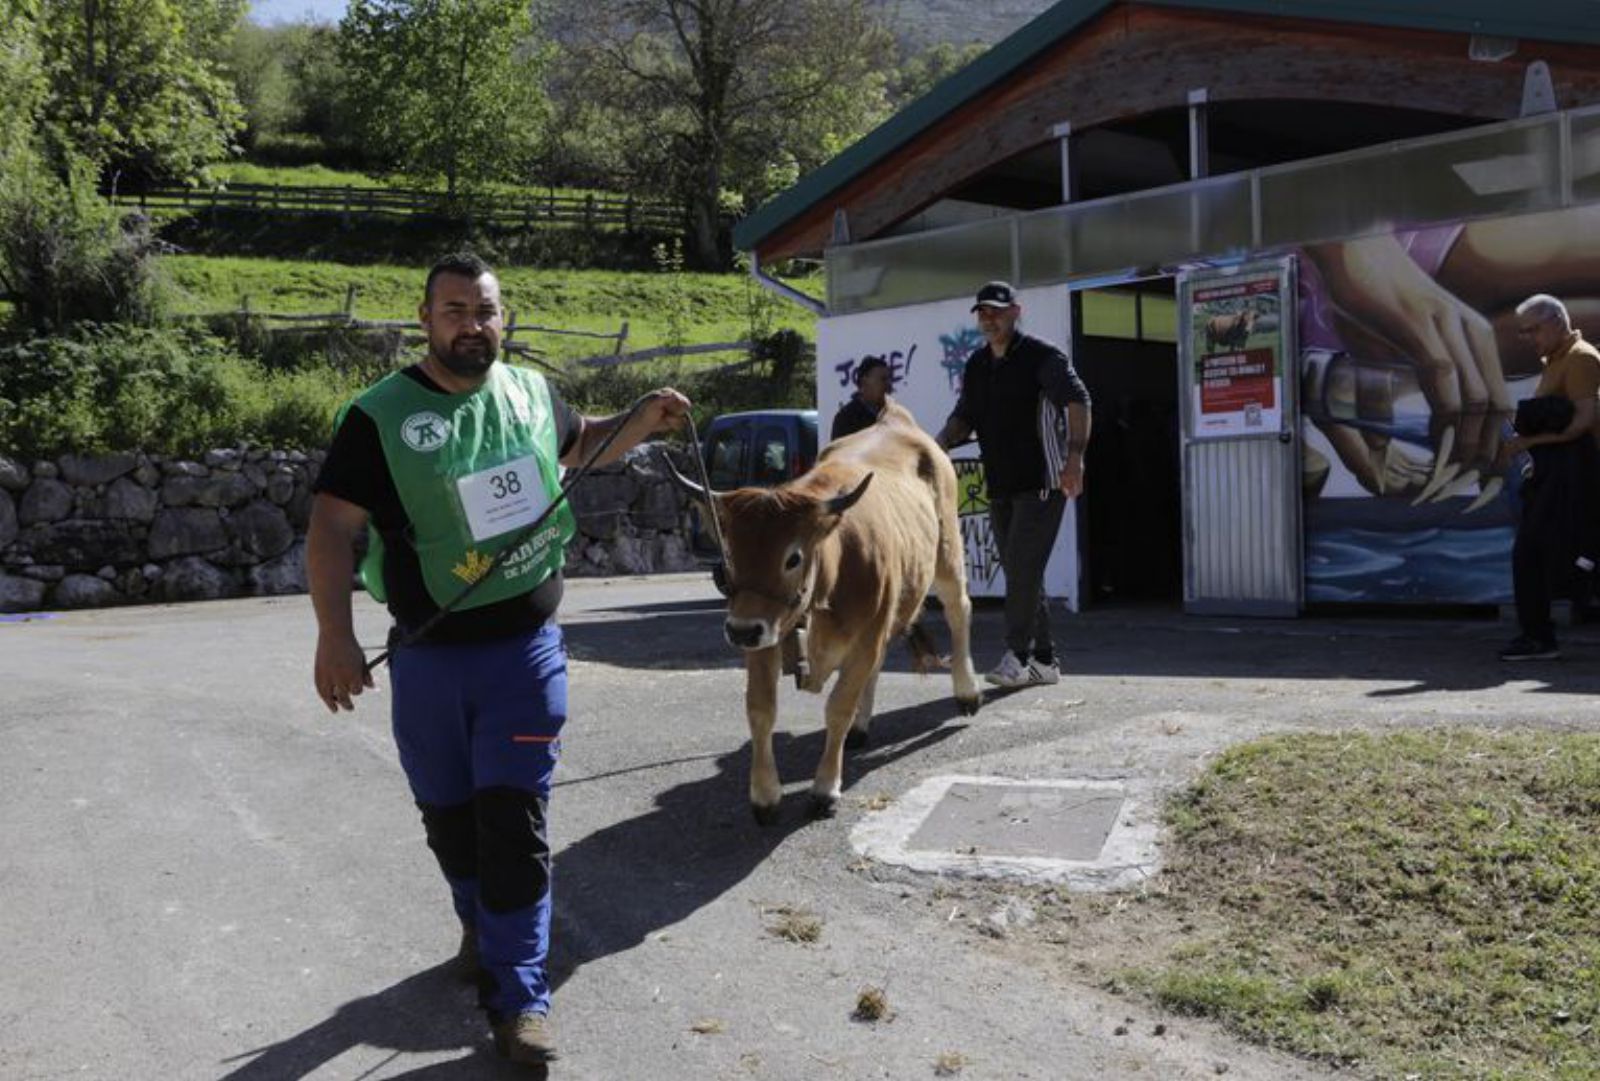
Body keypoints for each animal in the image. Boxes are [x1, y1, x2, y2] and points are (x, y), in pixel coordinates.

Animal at [668, 401, 979, 825]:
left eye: (793, 558)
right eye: (729, 554)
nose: (740, 631)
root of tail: (896, 420)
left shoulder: (865, 635)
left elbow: (838, 707)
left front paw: (825, 788)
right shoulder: (767, 636)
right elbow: (760, 710)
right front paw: (765, 794)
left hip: (946, 554)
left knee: (958, 610)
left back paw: (967, 691)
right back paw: (862, 727)